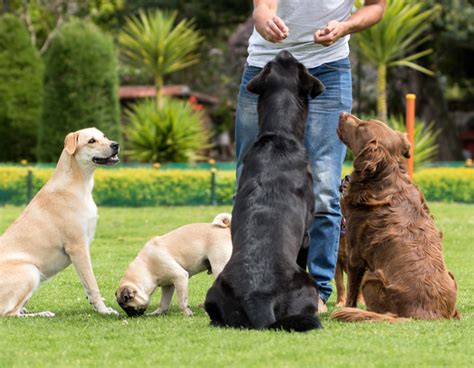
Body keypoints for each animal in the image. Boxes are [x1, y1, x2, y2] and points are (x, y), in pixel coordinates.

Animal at [0, 127, 120, 316]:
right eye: (91, 141)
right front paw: (103, 310)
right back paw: (43, 314)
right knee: (8, 313)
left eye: (104, 136)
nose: (115, 145)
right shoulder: (78, 247)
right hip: (31, 270)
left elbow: (87, 285)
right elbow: (92, 283)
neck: (78, 185)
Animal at [330, 113, 460, 322]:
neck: (384, 177)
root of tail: (419, 315)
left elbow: (351, 291)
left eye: (361, 126)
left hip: (372, 277)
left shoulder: (355, 252)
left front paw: (348, 307)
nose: (342, 114)